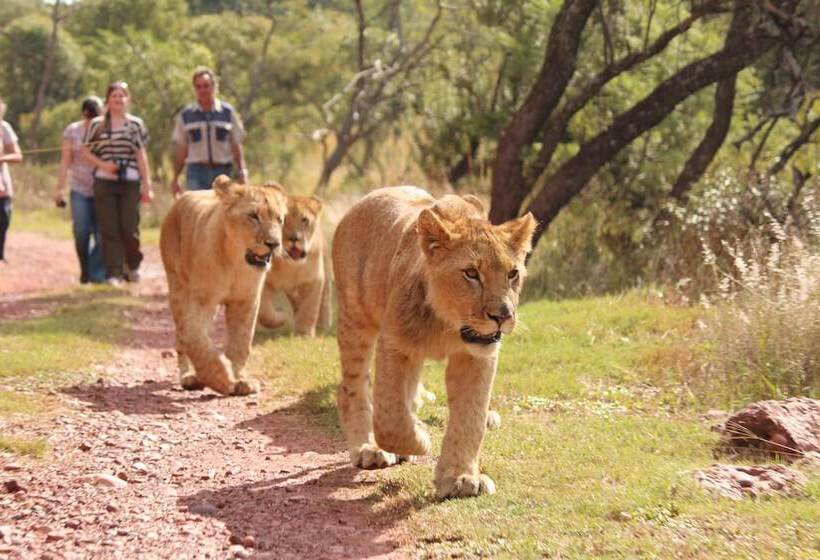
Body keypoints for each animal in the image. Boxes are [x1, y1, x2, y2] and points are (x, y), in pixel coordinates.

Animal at [159, 175, 287, 396]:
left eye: (279, 219)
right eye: (253, 216)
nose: (274, 244)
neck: (235, 263)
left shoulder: (247, 301)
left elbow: (241, 341)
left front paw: (241, 380)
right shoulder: (202, 299)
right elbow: (194, 338)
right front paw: (221, 378)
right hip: (177, 288)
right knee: (181, 337)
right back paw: (188, 377)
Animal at [257, 195, 330, 337]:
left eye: (304, 220)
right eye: (282, 220)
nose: (294, 238)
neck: (291, 266)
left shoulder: (314, 281)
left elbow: (309, 308)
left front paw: (304, 334)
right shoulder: (266, 282)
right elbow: (264, 312)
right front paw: (282, 316)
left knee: (324, 301)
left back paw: (323, 326)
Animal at [333, 186, 535, 498]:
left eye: (513, 274)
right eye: (471, 273)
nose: (502, 316)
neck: (447, 325)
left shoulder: (476, 357)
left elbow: (469, 418)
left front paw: (461, 478)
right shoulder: (394, 343)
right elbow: (390, 418)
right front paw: (420, 439)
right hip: (355, 319)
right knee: (351, 389)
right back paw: (369, 449)